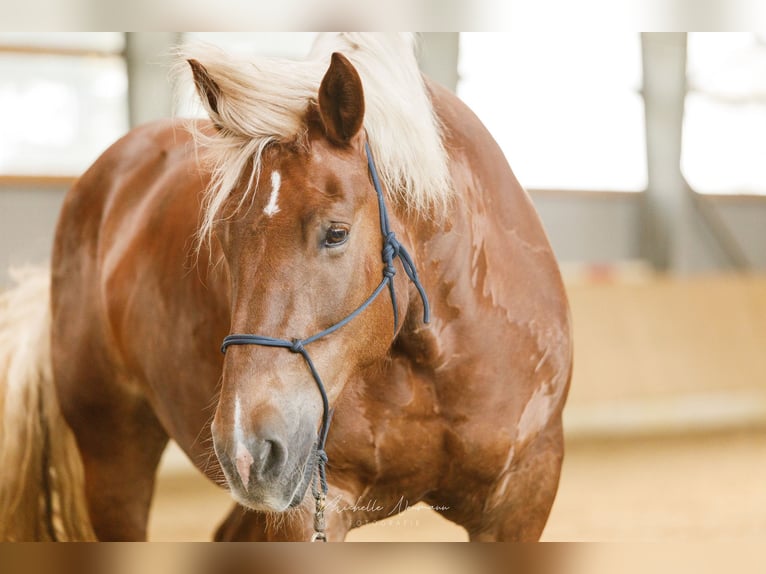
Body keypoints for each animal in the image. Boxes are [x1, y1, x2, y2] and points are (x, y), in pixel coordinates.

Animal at [0, 33, 572, 544]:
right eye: (223, 240)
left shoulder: (523, 496)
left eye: (336, 233)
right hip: (115, 456)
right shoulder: (312, 509)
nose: (244, 447)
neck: (435, 360)